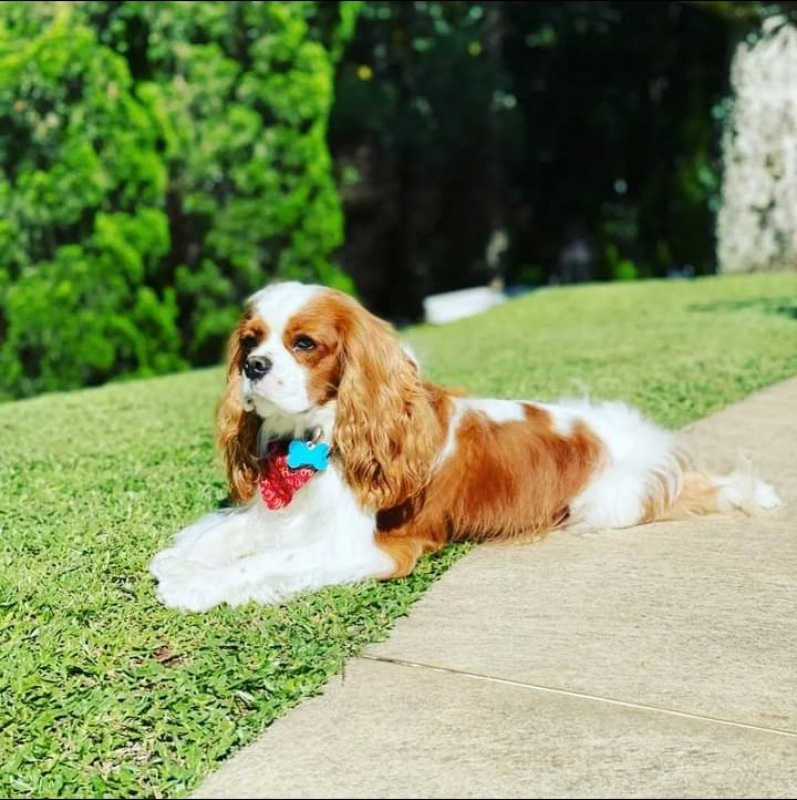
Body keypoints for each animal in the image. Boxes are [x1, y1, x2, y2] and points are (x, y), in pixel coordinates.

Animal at [148, 282, 776, 612]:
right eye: (250, 342)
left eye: (303, 344)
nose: (254, 367)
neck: (318, 436)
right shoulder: (285, 512)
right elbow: (234, 531)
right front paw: (185, 555)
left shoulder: (370, 547)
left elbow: (270, 561)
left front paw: (195, 584)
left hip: (608, 503)